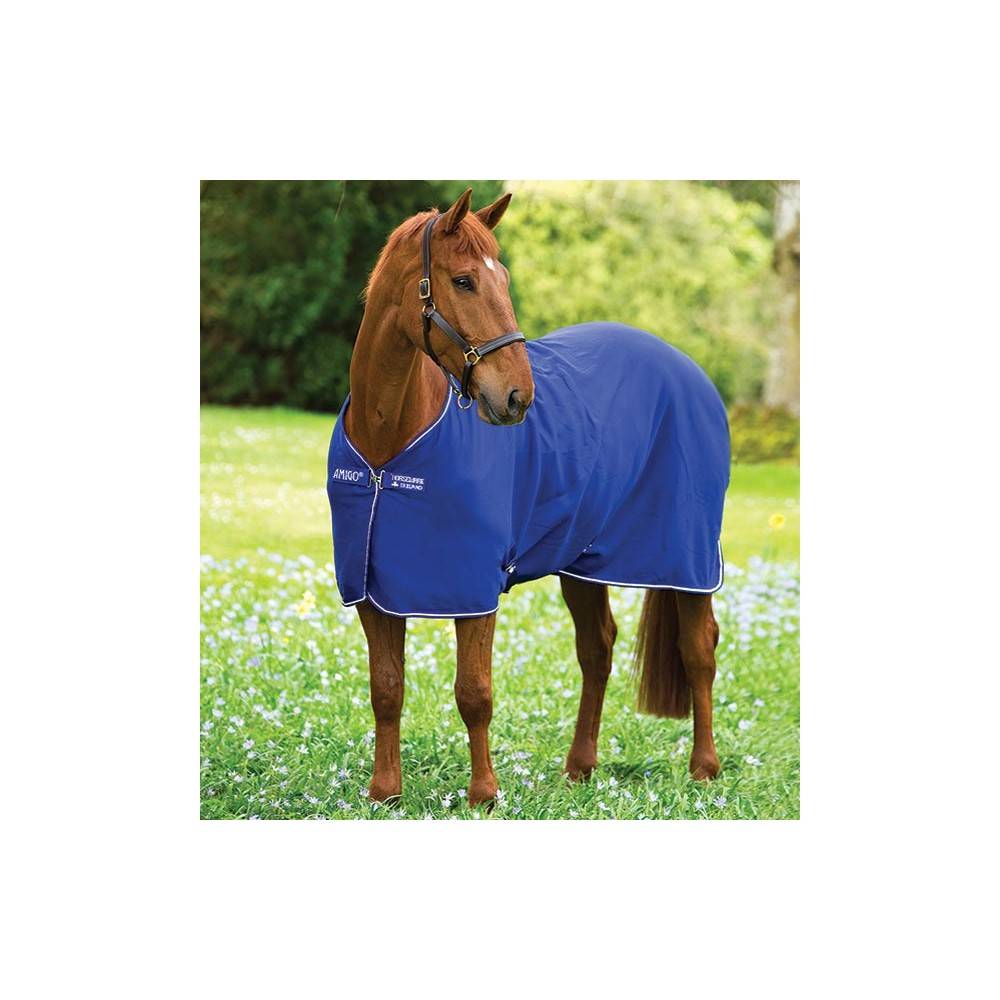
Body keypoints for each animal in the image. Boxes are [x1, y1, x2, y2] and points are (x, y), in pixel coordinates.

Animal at [327, 188, 728, 806]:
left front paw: (483, 796)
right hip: (583, 561)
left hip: (685, 556)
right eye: (464, 280)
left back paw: (704, 768)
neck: (387, 447)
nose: (517, 397)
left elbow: (474, 692)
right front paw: (385, 793)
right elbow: (386, 688)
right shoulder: (373, 589)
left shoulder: (472, 588)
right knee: (598, 649)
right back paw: (580, 767)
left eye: (505, 278)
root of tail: (688, 368)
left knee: (698, 649)